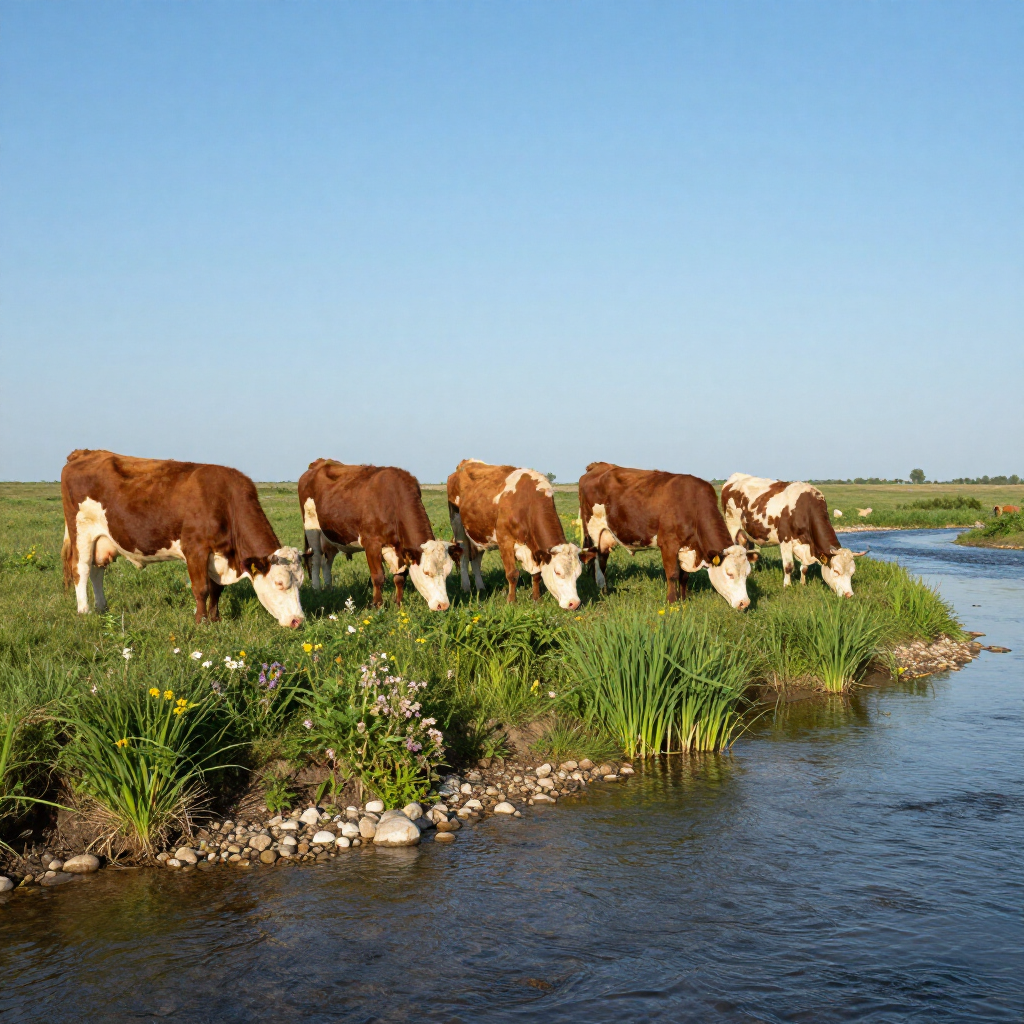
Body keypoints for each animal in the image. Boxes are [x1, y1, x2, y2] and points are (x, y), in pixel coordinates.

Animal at [60, 450, 304, 627]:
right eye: (279, 583)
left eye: (301, 583)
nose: (298, 621)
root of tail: (85, 453)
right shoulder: (195, 549)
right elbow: (201, 588)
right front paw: (201, 621)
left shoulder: (217, 555)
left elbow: (216, 589)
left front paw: (216, 618)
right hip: (81, 532)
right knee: (81, 569)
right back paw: (85, 611)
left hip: (102, 539)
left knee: (97, 570)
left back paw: (102, 608)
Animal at [299, 459, 459, 611]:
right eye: (426, 572)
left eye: (447, 573)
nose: (443, 605)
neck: (393, 500)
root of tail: (318, 463)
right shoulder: (372, 543)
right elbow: (378, 577)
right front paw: (377, 605)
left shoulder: (397, 548)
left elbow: (400, 577)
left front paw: (398, 605)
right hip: (311, 527)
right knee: (316, 559)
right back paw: (316, 589)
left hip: (332, 535)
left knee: (327, 561)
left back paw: (329, 588)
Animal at [447, 459, 592, 609]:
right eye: (557, 572)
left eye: (578, 574)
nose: (574, 603)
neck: (527, 503)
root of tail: (466, 462)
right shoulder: (505, 540)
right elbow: (512, 574)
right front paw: (511, 601)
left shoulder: (534, 550)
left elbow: (537, 575)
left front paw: (536, 598)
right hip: (458, 524)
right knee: (464, 557)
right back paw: (466, 587)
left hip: (479, 533)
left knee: (476, 559)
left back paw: (481, 587)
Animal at [578, 462, 756, 609]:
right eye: (730, 573)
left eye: (747, 573)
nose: (745, 603)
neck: (692, 506)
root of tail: (598, 466)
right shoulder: (668, 545)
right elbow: (672, 574)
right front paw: (672, 601)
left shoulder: (688, 548)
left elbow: (684, 576)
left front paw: (684, 599)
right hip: (594, 531)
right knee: (598, 561)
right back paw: (603, 589)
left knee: (602, 558)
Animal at [721, 473, 867, 597]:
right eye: (836, 571)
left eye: (852, 573)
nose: (849, 595)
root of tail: (735, 477)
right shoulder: (785, 540)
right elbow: (788, 566)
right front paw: (787, 585)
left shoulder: (805, 546)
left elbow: (805, 568)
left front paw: (802, 583)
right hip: (732, 524)